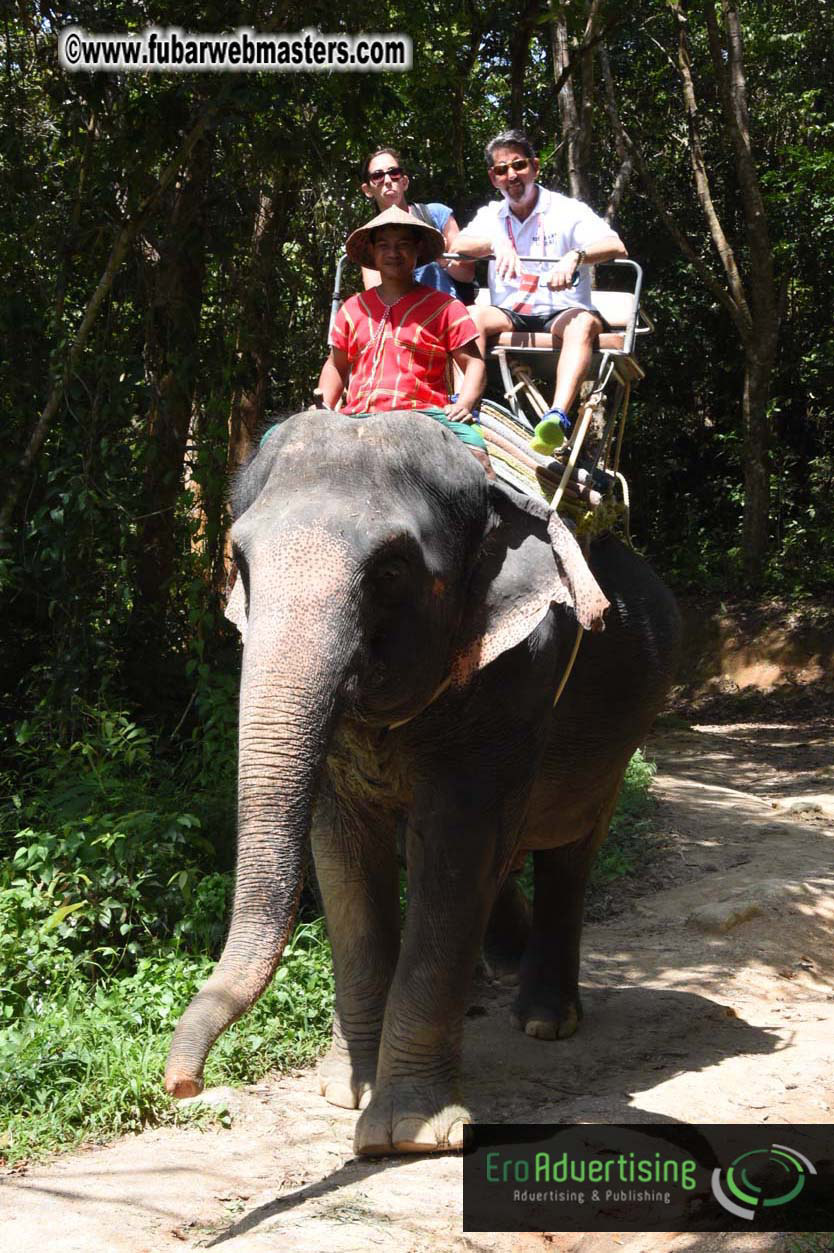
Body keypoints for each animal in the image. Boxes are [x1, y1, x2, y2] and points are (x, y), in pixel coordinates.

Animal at [164, 408, 680, 1157]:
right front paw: (345, 1092)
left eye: (391, 569)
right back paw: (502, 969)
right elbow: (345, 856)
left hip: (624, 729)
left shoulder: (519, 672)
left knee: (570, 849)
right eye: (241, 562)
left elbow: (457, 850)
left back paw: (545, 1019)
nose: (183, 1085)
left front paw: (407, 1132)